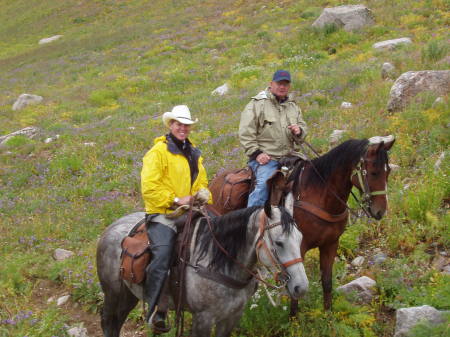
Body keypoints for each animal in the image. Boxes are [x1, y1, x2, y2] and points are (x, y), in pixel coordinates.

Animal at [97, 205, 310, 336]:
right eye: (279, 243)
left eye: (300, 238)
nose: (301, 288)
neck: (220, 263)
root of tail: (111, 227)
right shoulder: (203, 319)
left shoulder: (231, 317)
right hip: (113, 294)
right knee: (108, 322)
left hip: (128, 295)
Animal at [209, 135, 396, 312]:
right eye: (373, 172)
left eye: (388, 172)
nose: (380, 211)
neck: (319, 195)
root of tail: (214, 181)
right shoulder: (298, 247)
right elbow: (295, 290)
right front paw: (294, 319)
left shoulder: (330, 244)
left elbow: (327, 282)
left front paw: (328, 315)